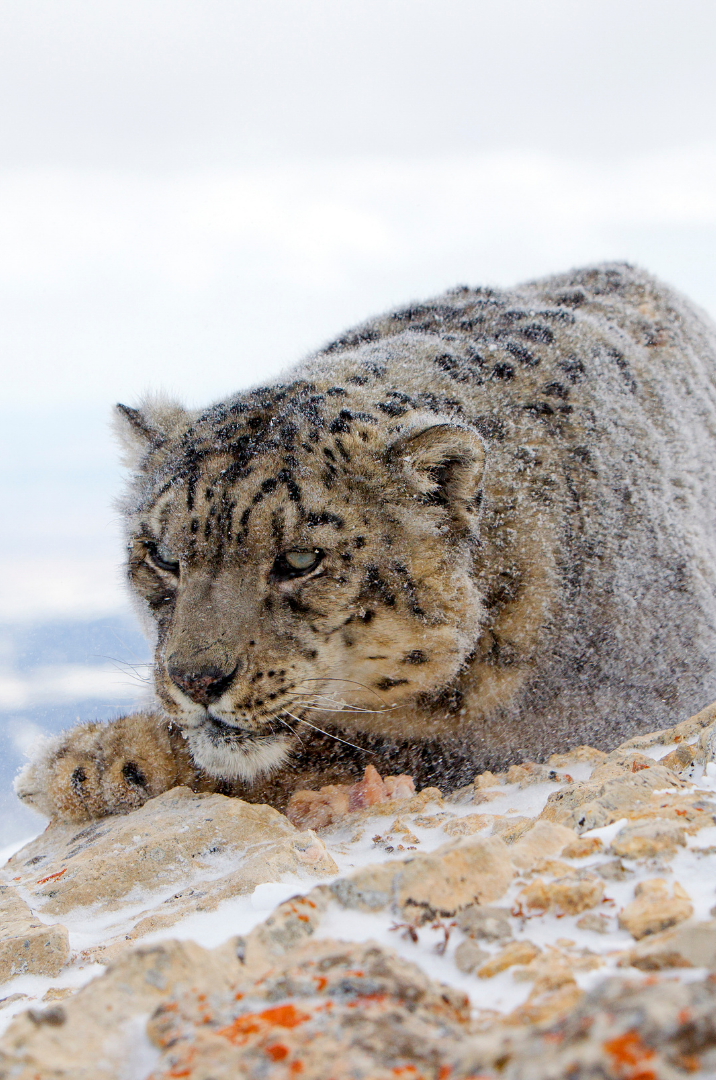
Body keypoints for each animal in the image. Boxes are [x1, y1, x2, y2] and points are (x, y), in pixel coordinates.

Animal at [16, 261, 716, 823]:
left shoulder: (608, 711)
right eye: (162, 556)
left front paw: (82, 761)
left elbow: (354, 746)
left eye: (300, 559)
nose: (196, 680)